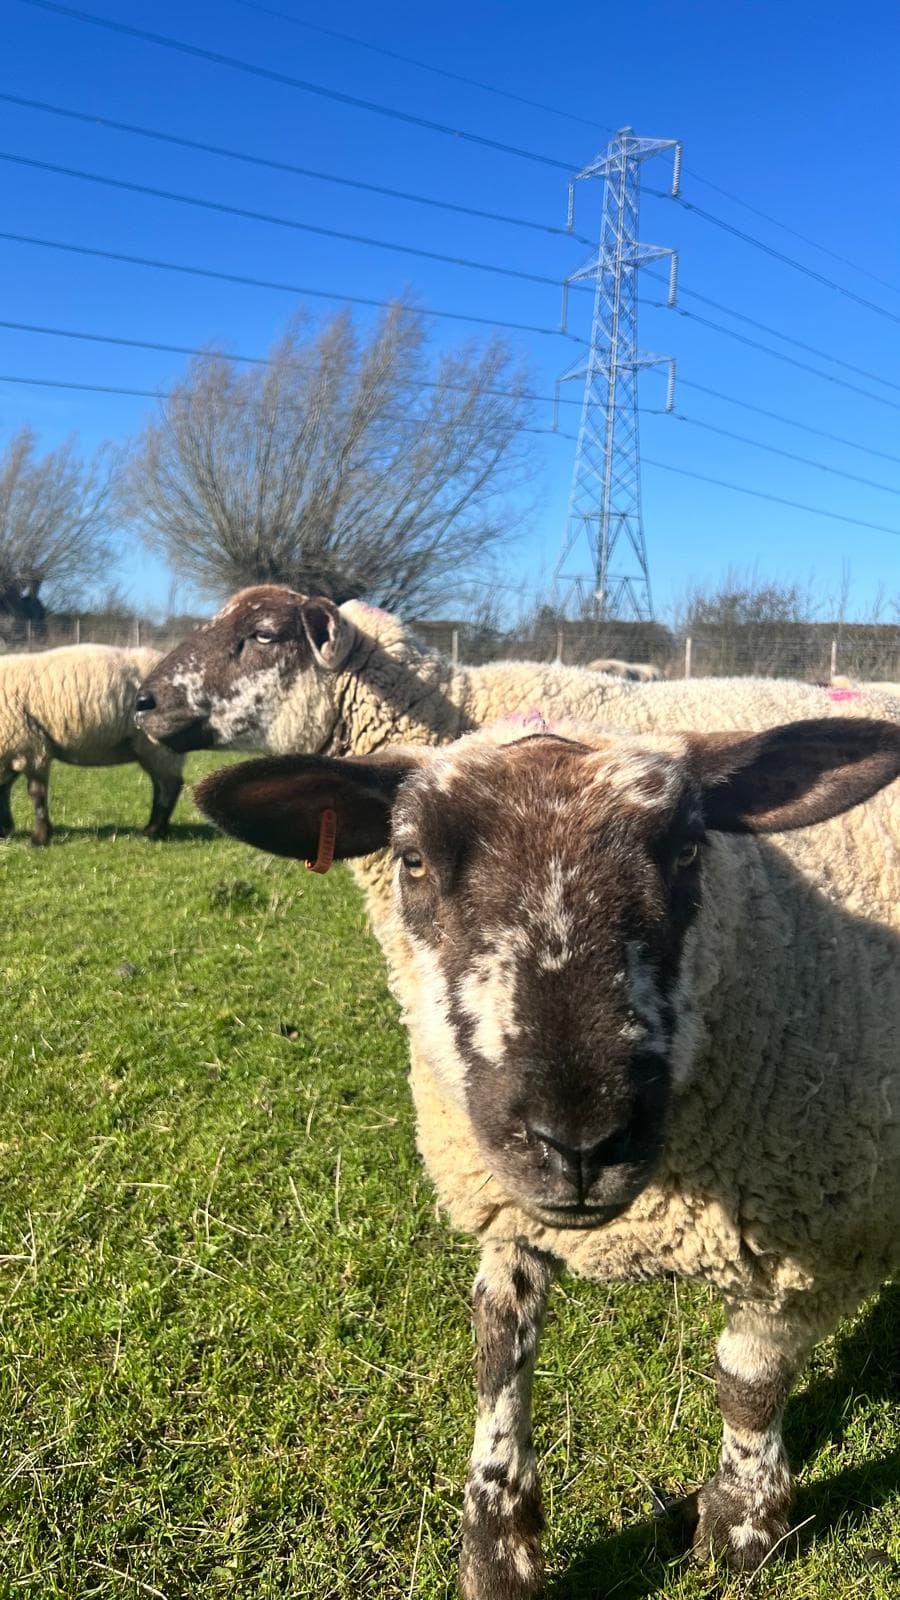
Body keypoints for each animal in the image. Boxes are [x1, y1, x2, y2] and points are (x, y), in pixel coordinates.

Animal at [0, 644, 185, 844]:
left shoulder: (32, 747)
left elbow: (37, 793)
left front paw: (39, 838)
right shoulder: (15, 750)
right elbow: (5, 789)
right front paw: (5, 830)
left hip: (158, 742)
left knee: (169, 785)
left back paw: (152, 832)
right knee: (163, 784)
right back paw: (157, 830)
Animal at [194, 714, 900, 1597]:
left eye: (688, 849)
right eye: (412, 858)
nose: (580, 1144)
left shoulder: (821, 1234)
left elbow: (749, 1382)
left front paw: (741, 1529)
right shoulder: (509, 1207)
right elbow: (498, 1354)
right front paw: (498, 1554)